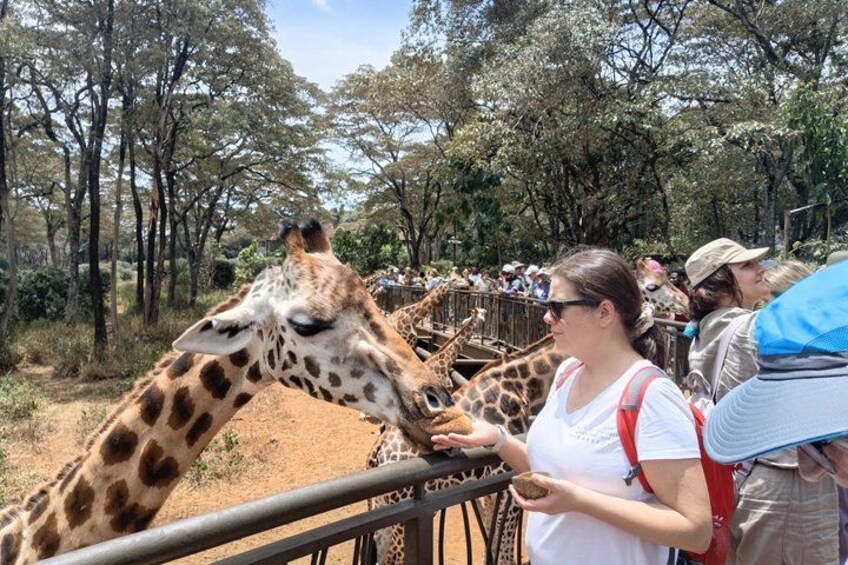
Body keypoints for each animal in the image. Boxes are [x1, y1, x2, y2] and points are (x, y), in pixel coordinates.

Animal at [366, 335, 563, 565]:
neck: (522, 387)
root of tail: (377, 453)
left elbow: (491, 538)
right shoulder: (508, 482)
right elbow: (503, 546)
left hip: (384, 507)